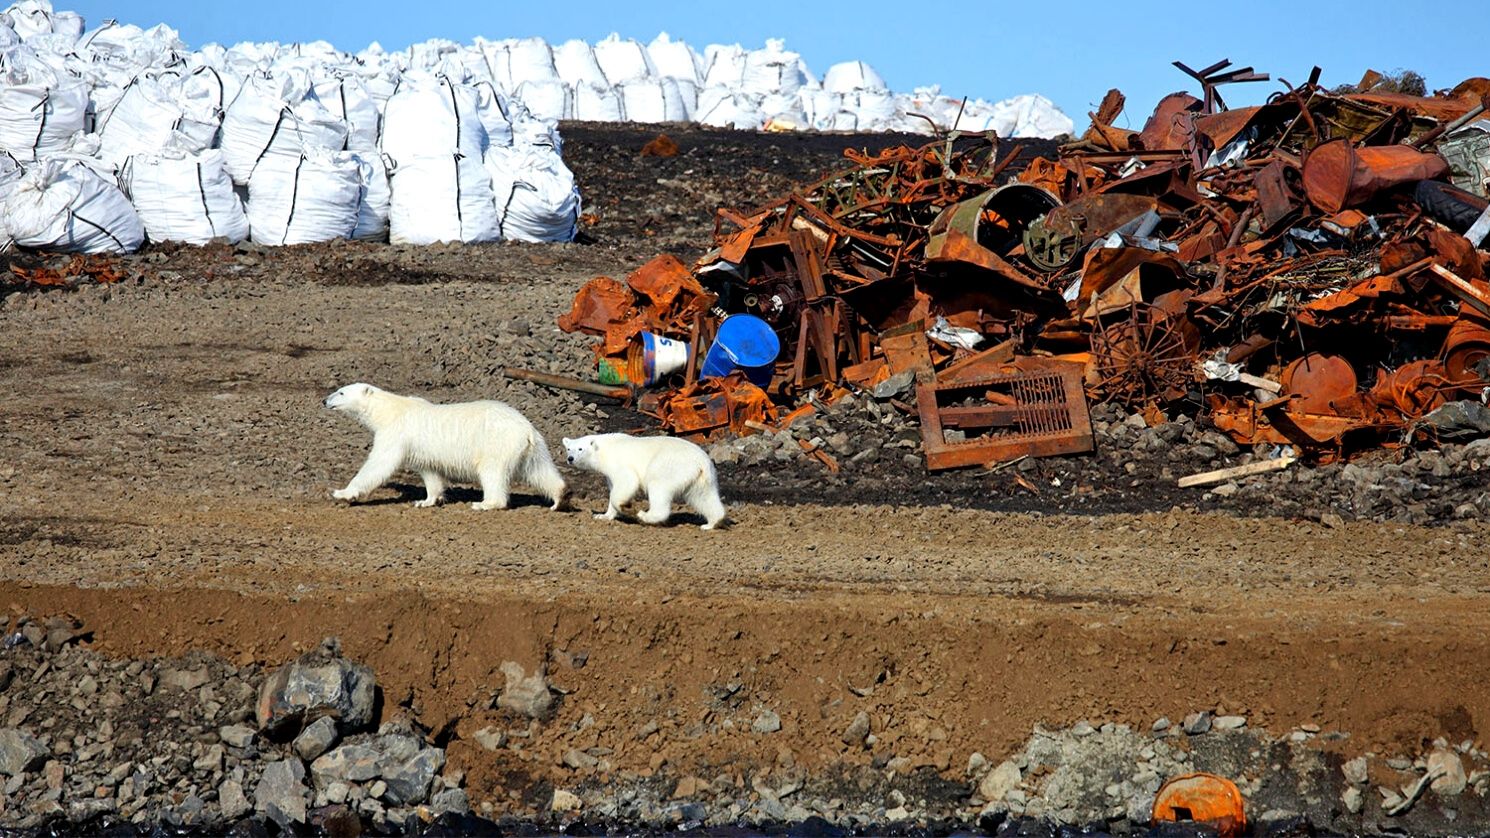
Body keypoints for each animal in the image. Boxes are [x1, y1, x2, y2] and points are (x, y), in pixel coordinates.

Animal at [326, 380, 563, 509]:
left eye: (341, 392)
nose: (325, 400)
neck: (388, 410)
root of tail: (527, 429)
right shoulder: (419, 449)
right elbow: (429, 472)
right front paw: (426, 500)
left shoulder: (395, 433)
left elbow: (379, 463)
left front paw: (342, 493)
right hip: (534, 447)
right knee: (540, 470)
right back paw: (561, 497)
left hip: (497, 443)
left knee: (492, 471)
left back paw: (484, 504)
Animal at [560, 429, 724, 527]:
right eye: (568, 448)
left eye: (580, 449)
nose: (570, 458)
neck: (603, 449)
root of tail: (701, 462)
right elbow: (613, 487)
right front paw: (603, 516)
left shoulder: (619, 462)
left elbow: (627, 481)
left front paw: (625, 506)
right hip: (701, 478)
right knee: (703, 497)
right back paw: (711, 523)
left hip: (670, 465)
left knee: (658, 488)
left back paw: (645, 515)